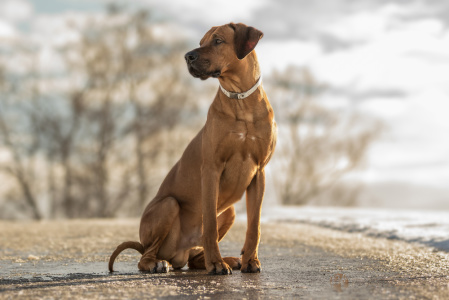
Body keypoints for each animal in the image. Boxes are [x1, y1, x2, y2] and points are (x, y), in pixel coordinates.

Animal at [109, 22, 276, 276]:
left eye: (217, 41)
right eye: (201, 42)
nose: (188, 56)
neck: (241, 101)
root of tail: (179, 253)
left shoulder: (259, 172)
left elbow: (254, 225)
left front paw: (250, 260)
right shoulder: (211, 169)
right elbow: (210, 224)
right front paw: (216, 264)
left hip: (228, 212)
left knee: (195, 259)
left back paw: (228, 259)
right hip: (168, 205)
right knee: (146, 256)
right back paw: (160, 263)